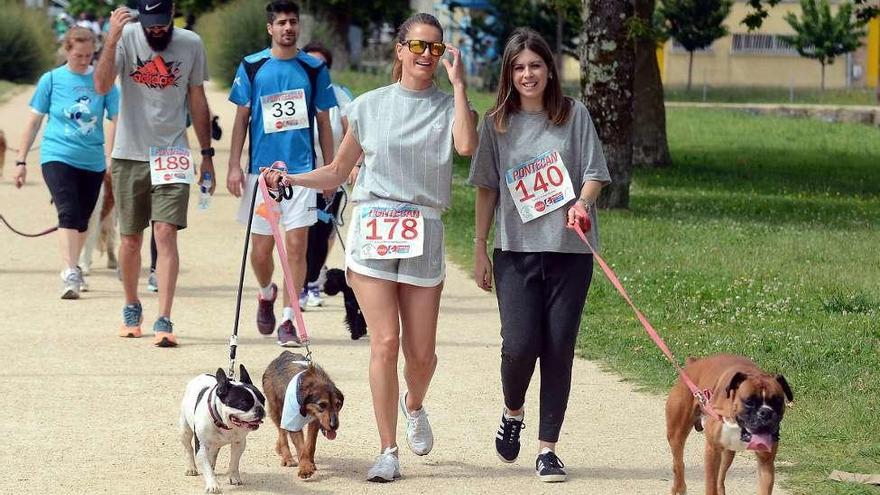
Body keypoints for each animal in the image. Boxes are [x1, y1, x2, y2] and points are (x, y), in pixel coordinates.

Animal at [664, 354, 796, 495]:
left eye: (778, 401)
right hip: (676, 435)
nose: (766, 412)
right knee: (678, 463)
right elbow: (710, 486)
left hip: (727, 453)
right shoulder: (712, 451)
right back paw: (679, 488)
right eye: (749, 402)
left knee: (720, 478)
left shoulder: (765, 462)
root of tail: (693, 363)